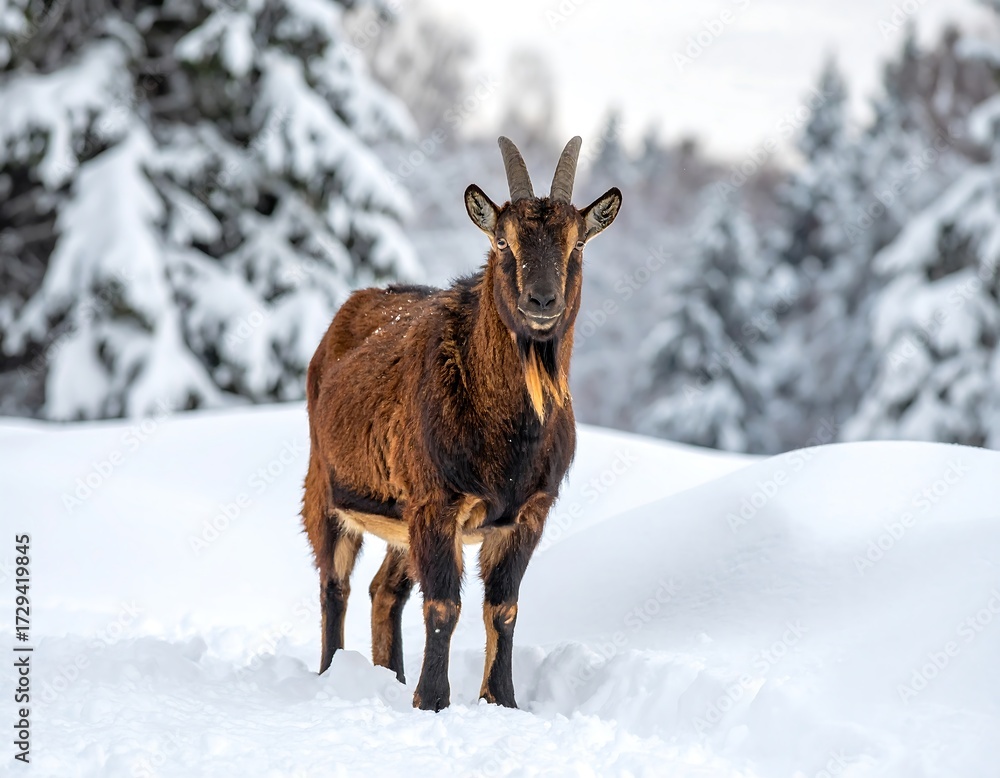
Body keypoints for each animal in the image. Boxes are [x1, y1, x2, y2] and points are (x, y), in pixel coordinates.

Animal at [302, 136, 622, 711]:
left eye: (578, 244)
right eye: (502, 241)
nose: (542, 300)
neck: (510, 440)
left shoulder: (527, 513)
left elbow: (503, 609)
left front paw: (502, 701)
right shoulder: (436, 501)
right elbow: (443, 607)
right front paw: (433, 701)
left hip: (400, 519)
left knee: (384, 590)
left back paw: (392, 676)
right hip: (326, 487)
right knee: (334, 584)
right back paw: (331, 674)